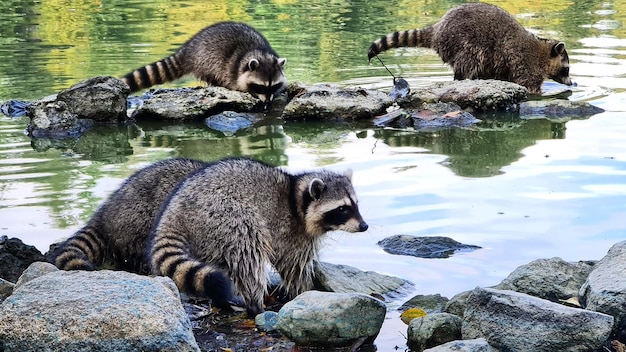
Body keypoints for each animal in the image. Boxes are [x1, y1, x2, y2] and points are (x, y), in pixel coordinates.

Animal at [148, 157, 368, 316]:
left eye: (356, 204)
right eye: (342, 209)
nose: (364, 226)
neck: (295, 197)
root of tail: (175, 211)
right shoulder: (290, 233)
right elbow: (293, 268)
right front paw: (305, 291)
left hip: (210, 236)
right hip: (225, 215)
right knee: (248, 253)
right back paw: (255, 305)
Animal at [366, 1, 572, 95]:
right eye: (567, 69)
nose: (572, 83)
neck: (543, 53)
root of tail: (438, 27)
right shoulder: (524, 63)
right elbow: (528, 86)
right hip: (463, 43)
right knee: (469, 63)